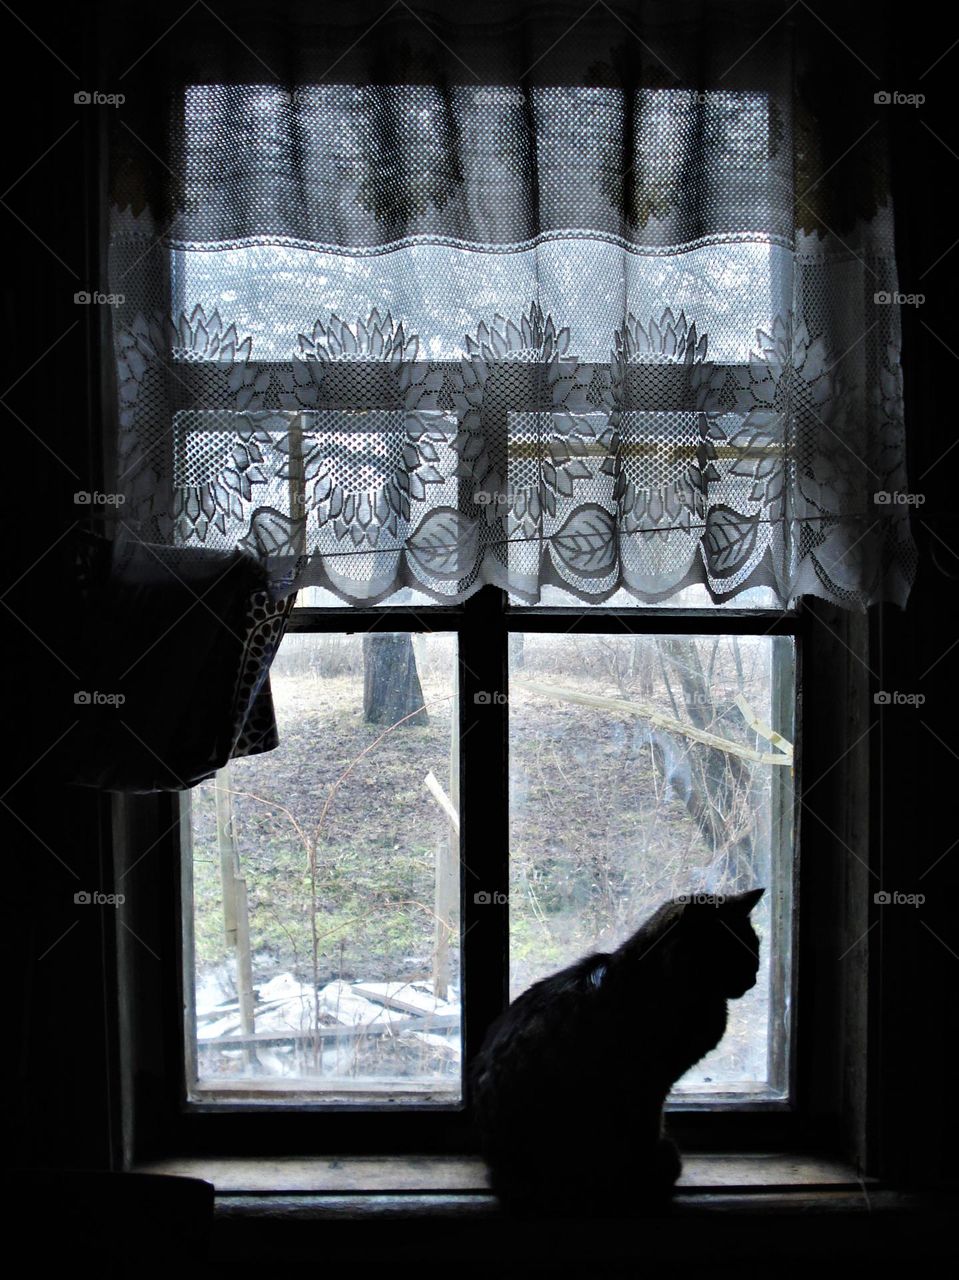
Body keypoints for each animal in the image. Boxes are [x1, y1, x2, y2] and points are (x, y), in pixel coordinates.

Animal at [468, 885, 763, 1213]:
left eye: (754, 945)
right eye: (730, 950)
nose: (754, 977)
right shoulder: (647, 1085)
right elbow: (649, 1126)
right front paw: (649, 1169)